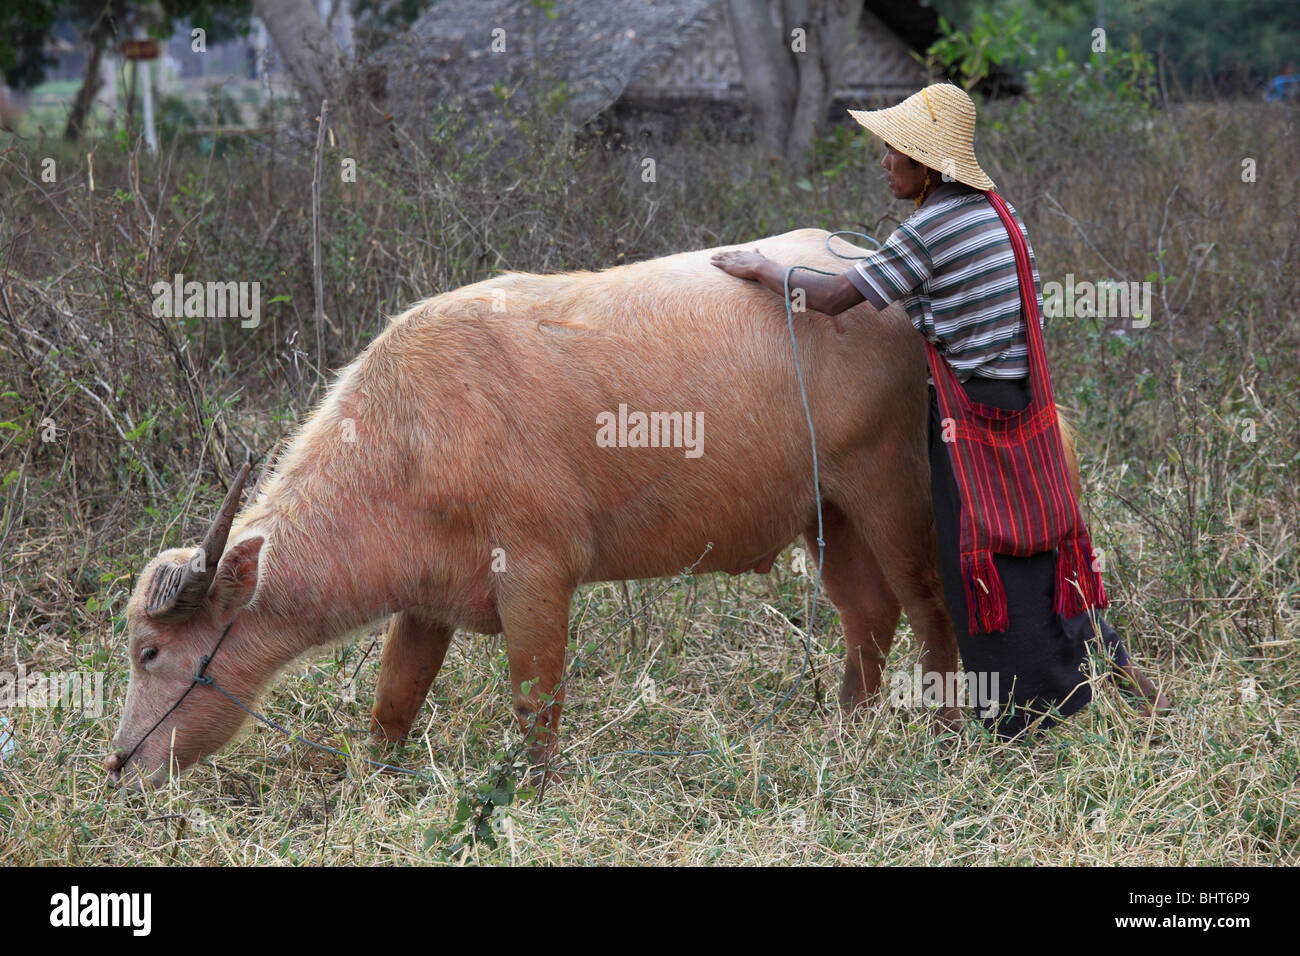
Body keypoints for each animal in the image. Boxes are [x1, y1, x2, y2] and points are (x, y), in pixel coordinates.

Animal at [109, 230, 967, 785]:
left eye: (149, 652)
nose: (119, 762)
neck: (410, 442)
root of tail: (875, 281)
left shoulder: (536, 578)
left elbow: (535, 703)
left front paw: (531, 788)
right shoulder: (427, 604)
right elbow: (393, 701)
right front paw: (375, 775)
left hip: (892, 491)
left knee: (930, 608)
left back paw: (947, 735)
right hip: (828, 514)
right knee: (867, 615)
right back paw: (847, 728)